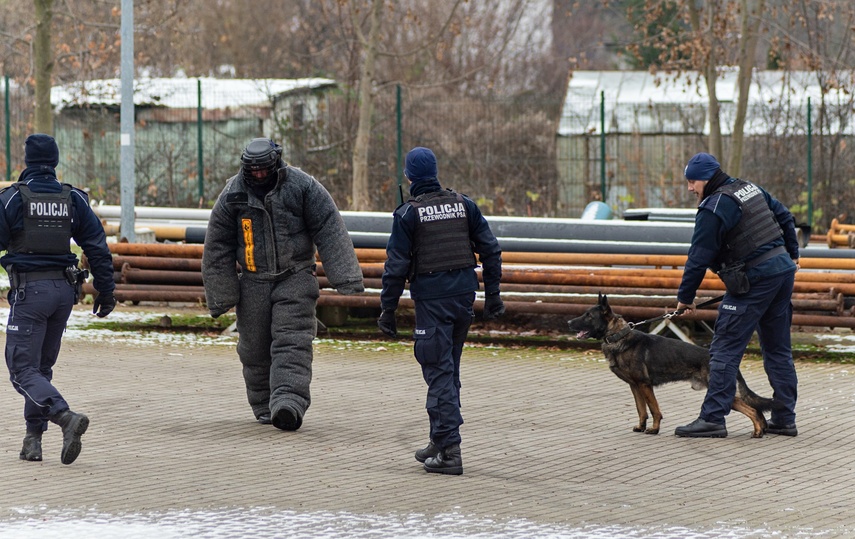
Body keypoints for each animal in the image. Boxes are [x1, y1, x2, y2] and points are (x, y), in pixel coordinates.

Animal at [564, 296, 780, 438]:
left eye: (589, 316)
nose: (568, 322)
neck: (619, 337)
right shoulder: (635, 386)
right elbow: (641, 409)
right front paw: (641, 426)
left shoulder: (644, 385)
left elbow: (654, 409)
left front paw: (654, 429)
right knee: (756, 409)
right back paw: (762, 429)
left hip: (720, 392)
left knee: (752, 410)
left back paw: (757, 431)